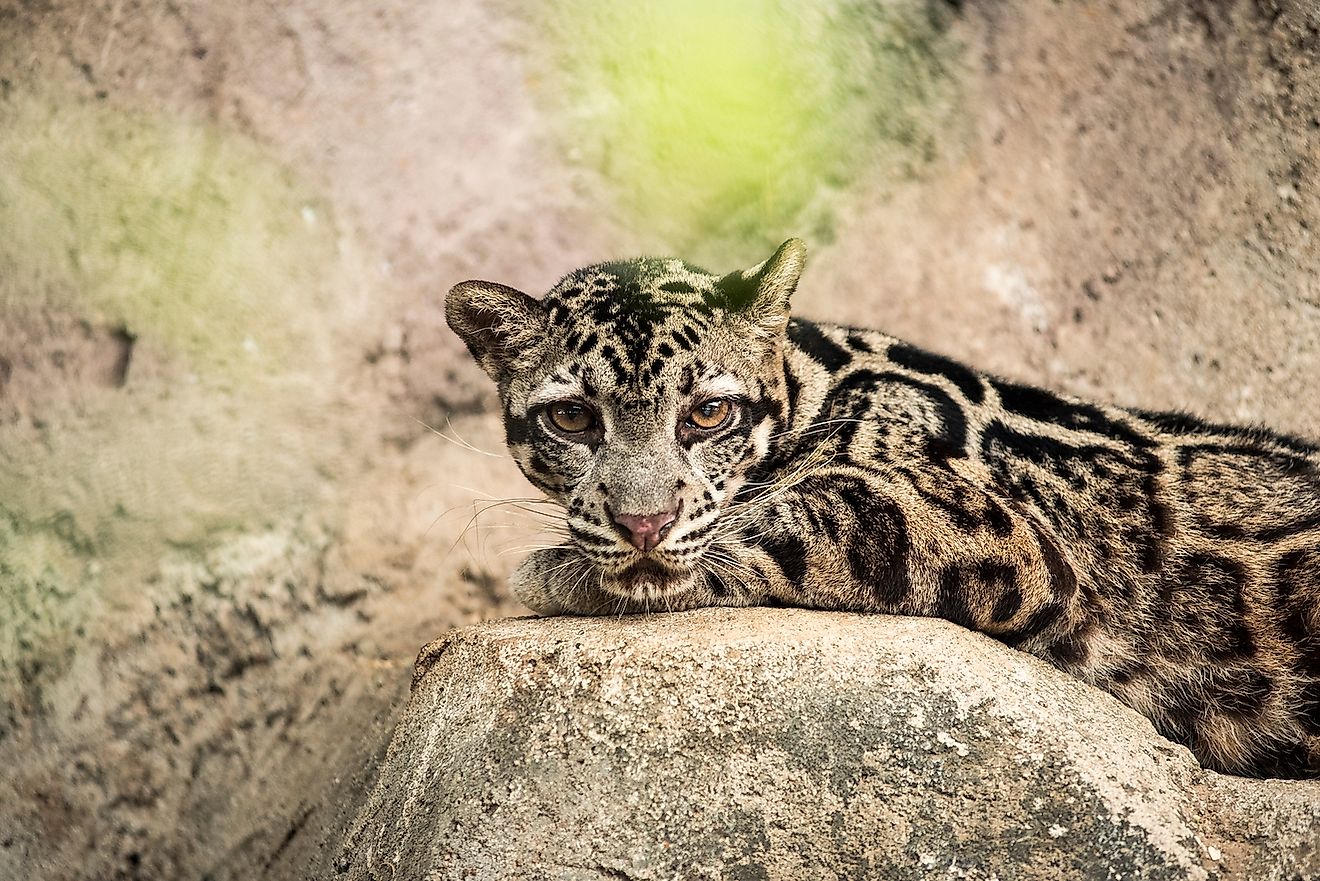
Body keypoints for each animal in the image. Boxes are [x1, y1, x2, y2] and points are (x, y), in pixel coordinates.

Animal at [446, 236, 1320, 776]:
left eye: (709, 413)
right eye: (571, 418)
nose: (642, 523)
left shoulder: (991, 529)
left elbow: (790, 517)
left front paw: (563, 568)